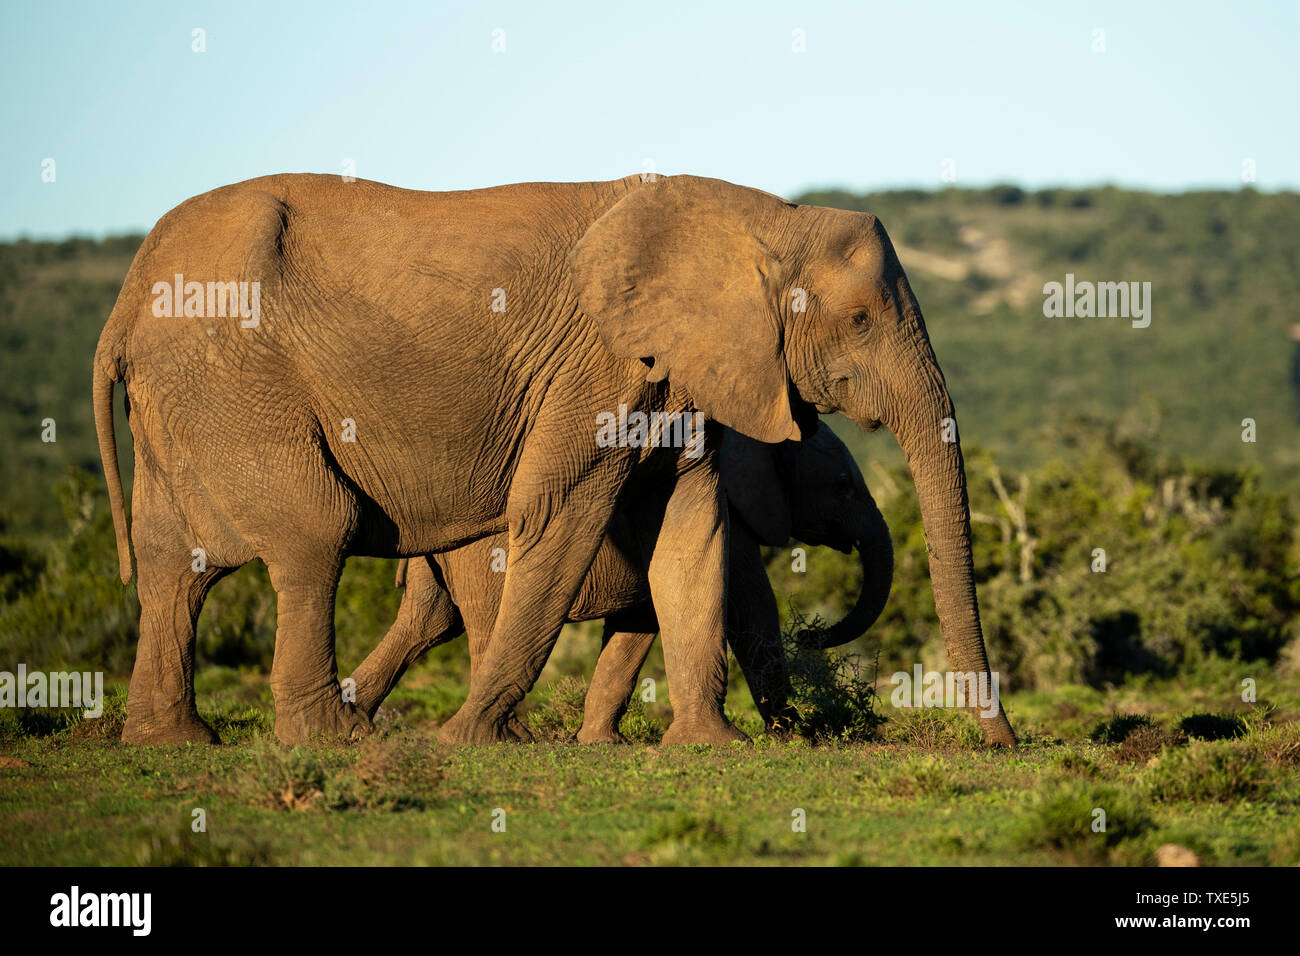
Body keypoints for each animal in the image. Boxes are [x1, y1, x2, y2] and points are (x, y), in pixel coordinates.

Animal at [345, 421, 894, 743]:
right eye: (843, 485)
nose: (812, 634)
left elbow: (642, 617)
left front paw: (601, 745)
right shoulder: (733, 520)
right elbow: (753, 608)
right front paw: (797, 736)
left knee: (428, 623)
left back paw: (356, 724)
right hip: (482, 556)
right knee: (480, 623)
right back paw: (511, 737)